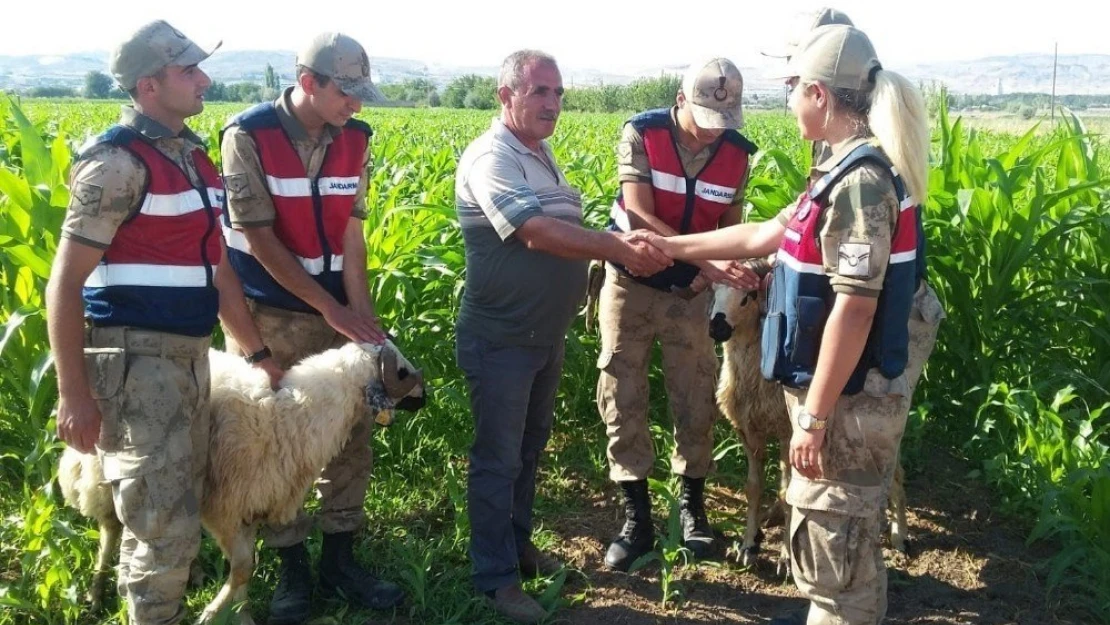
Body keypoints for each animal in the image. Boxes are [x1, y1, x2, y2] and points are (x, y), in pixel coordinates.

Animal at [58, 339, 426, 621]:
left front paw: (240, 613)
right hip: (104, 469)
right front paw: (212, 614)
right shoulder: (225, 509)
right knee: (111, 526)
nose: (426, 396)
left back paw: (190, 572)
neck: (294, 416)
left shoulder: (252, 506)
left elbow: (245, 571)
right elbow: (243, 568)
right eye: (402, 372)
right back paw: (96, 592)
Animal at [710, 284, 910, 572]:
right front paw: (748, 546)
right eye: (714, 291)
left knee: (895, 472)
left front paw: (785, 558)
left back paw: (899, 536)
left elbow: (786, 493)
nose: (716, 328)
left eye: (748, 296)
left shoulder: (787, 432)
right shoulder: (748, 430)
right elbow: (753, 488)